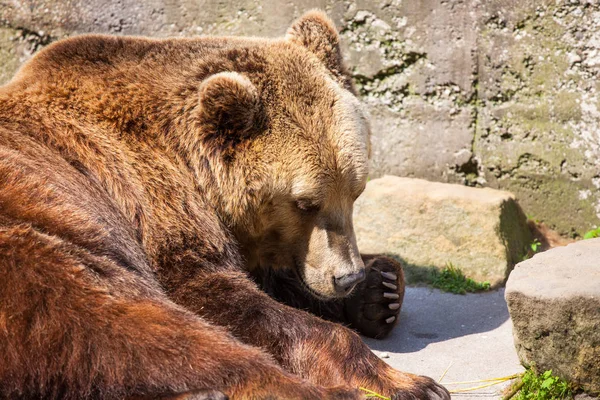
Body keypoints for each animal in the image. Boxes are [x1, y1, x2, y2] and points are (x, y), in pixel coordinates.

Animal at [0, 10, 450, 400]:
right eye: (305, 203)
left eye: (356, 191)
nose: (348, 277)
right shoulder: (153, 202)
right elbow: (218, 294)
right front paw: (398, 375)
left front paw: (381, 288)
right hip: (45, 239)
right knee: (122, 324)